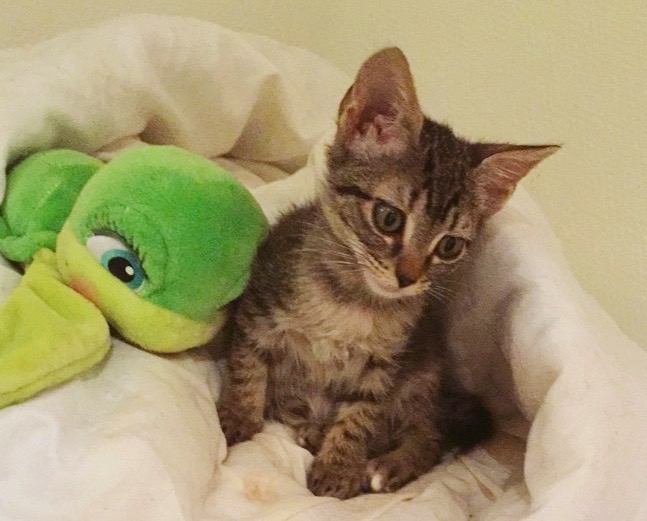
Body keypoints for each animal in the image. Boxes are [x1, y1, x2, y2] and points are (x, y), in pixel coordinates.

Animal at [216, 47, 558, 499]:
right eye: (388, 218)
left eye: (449, 246)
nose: (407, 278)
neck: (351, 300)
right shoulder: (259, 307)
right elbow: (247, 367)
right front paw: (239, 416)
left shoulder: (386, 366)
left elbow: (360, 417)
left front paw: (340, 465)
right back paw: (314, 428)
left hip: (421, 375)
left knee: (430, 433)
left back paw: (388, 464)